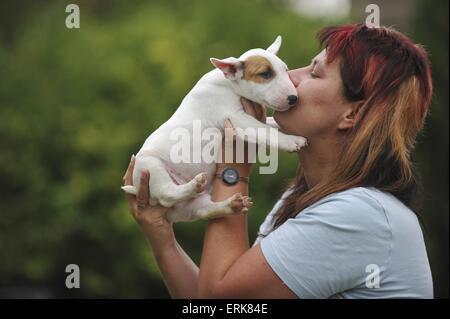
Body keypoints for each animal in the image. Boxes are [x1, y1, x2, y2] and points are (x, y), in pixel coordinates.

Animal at [121, 35, 308, 222]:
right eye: (265, 74)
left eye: (285, 70)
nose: (294, 98)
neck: (229, 84)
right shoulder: (237, 119)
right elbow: (267, 132)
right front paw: (294, 140)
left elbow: (271, 123)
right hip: (149, 166)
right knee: (167, 194)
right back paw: (193, 185)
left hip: (191, 205)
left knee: (204, 210)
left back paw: (231, 205)